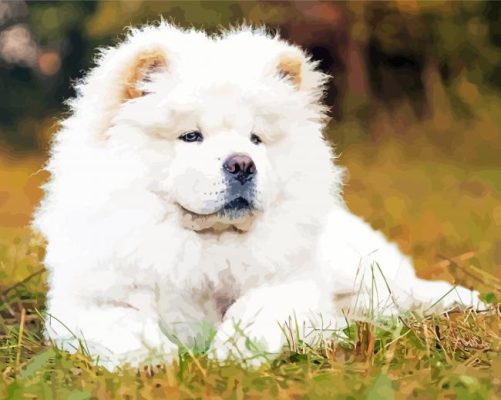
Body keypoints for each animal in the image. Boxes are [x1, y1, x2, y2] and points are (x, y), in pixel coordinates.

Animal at [33, 24, 478, 368]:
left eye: (256, 139)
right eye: (191, 136)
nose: (242, 164)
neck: (205, 245)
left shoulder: (291, 284)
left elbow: (255, 311)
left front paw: (232, 354)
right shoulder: (88, 302)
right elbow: (123, 326)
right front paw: (152, 360)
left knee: (407, 288)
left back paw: (465, 301)